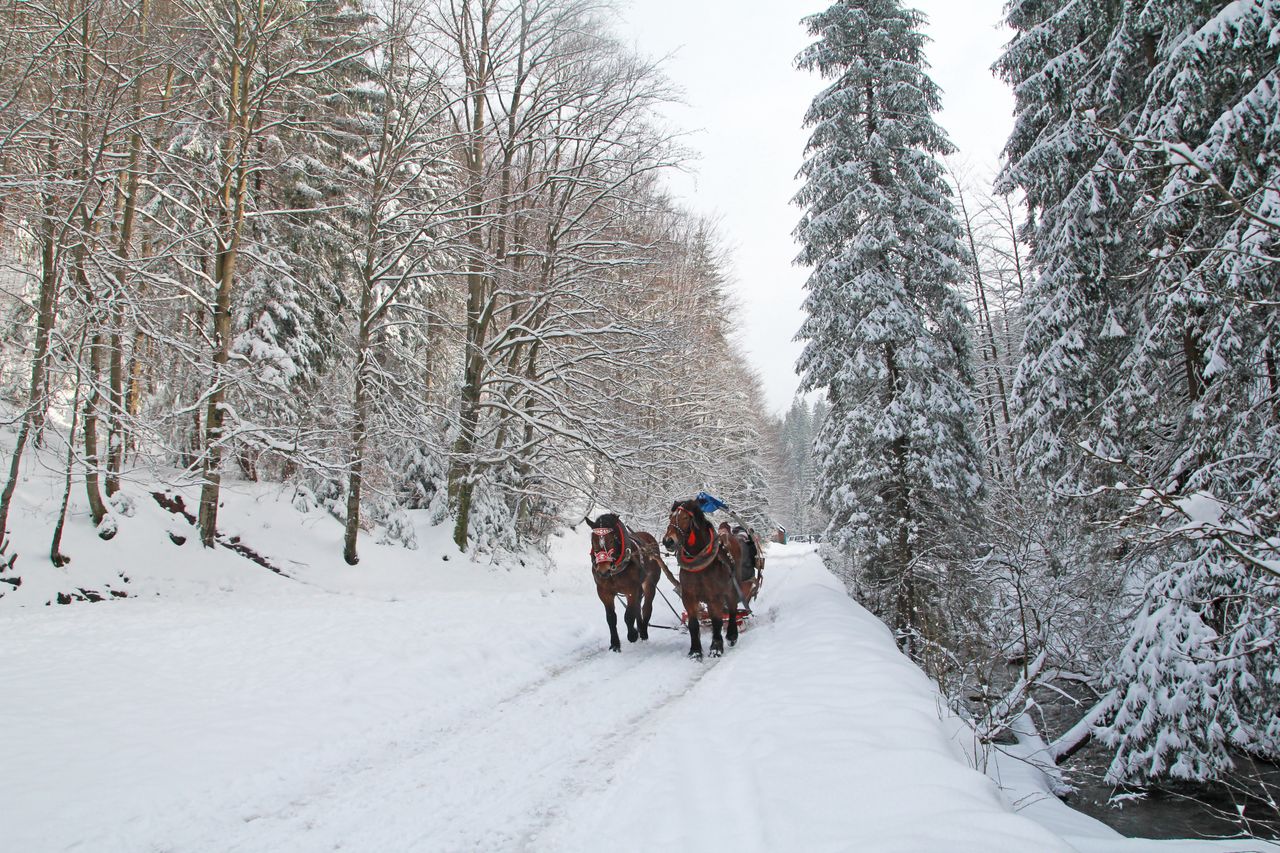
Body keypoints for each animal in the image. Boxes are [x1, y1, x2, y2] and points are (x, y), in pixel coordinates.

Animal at [586, 512, 665, 650]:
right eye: (593, 540)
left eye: (611, 539)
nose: (603, 570)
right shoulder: (604, 592)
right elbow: (611, 618)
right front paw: (615, 644)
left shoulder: (631, 590)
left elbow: (629, 615)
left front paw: (632, 634)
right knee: (638, 607)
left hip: (649, 583)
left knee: (646, 607)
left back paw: (643, 632)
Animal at [660, 499, 742, 655]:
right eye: (670, 517)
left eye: (685, 518)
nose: (668, 541)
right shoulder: (689, 596)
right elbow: (693, 624)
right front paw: (695, 651)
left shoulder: (715, 596)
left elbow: (717, 621)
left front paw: (716, 648)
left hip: (730, 589)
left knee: (733, 609)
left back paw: (732, 635)